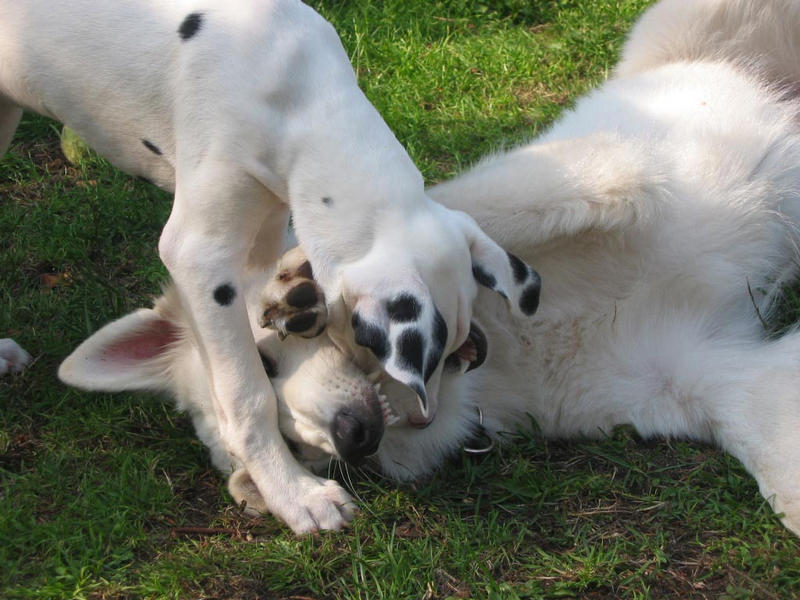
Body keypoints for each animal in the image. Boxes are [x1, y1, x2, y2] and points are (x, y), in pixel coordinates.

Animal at [0, 1, 540, 536]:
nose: (421, 421)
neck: (295, 100)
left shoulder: (266, 220)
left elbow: (269, 278)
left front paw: (294, 301)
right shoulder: (198, 255)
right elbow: (245, 396)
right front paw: (295, 493)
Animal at [62, 0, 800, 540]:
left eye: (267, 361)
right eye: (296, 449)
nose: (352, 439)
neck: (502, 349)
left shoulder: (605, 169)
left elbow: (459, 217)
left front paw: (299, 289)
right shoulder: (709, 374)